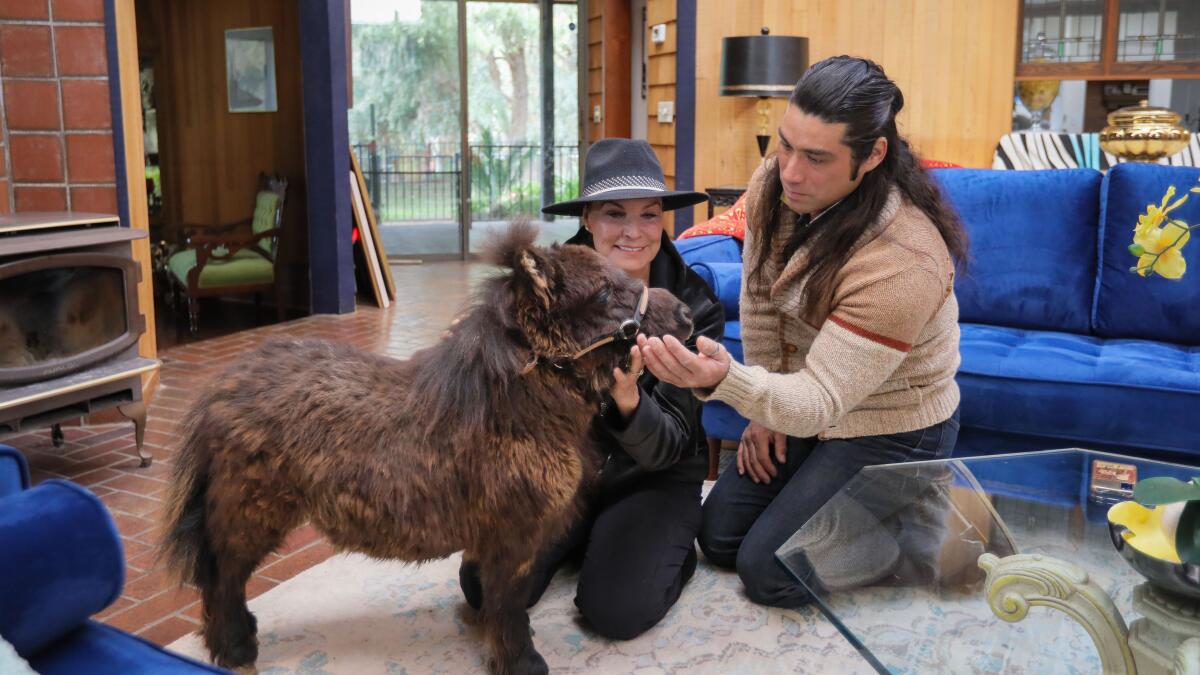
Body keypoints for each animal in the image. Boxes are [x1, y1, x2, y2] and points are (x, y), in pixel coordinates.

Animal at [164, 223, 700, 667]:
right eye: (604, 290)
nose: (687, 314)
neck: (511, 409)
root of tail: (218, 392)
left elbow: (497, 603)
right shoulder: (513, 538)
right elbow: (508, 606)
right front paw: (521, 662)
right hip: (250, 512)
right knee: (223, 577)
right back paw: (235, 648)